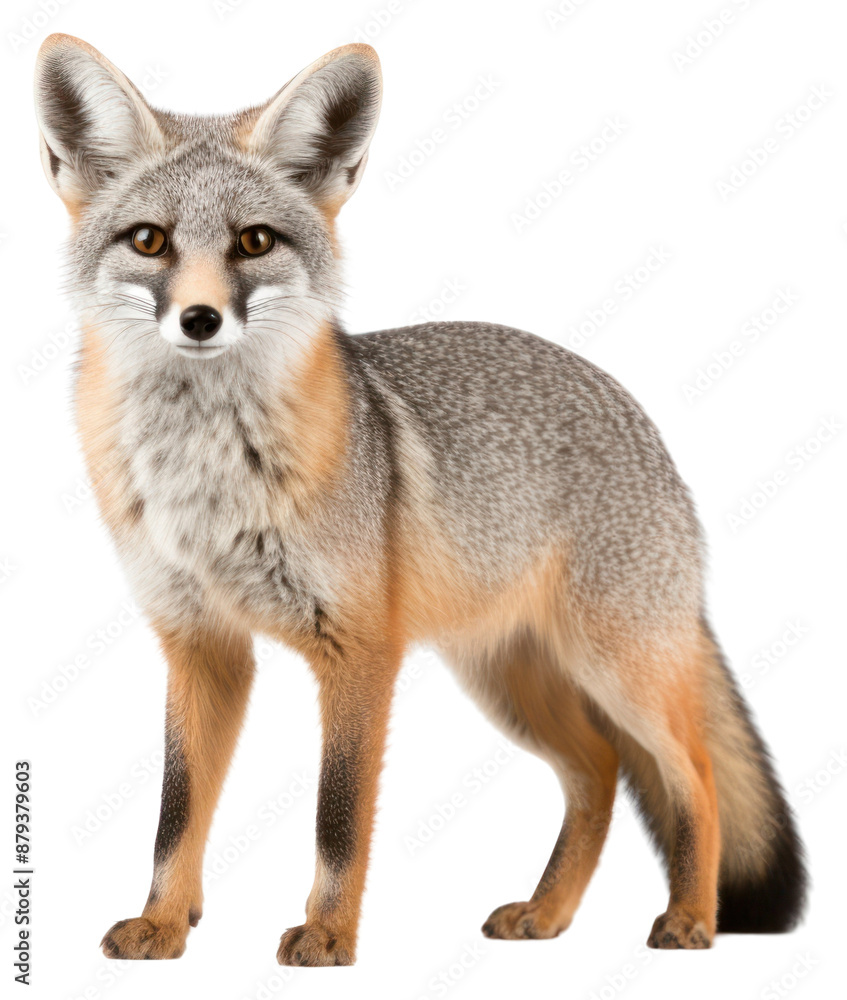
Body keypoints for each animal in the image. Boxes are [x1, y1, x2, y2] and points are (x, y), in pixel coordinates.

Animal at [34, 33, 806, 965]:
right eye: (148, 241)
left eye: (254, 242)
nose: (199, 320)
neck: (207, 481)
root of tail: (632, 411)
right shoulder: (201, 645)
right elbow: (176, 814)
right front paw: (161, 921)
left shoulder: (360, 651)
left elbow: (337, 820)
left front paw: (328, 936)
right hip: (506, 678)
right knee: (599, 773)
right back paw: (546, 914)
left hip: (614, 666)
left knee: (691, 774)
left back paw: (692, 918)